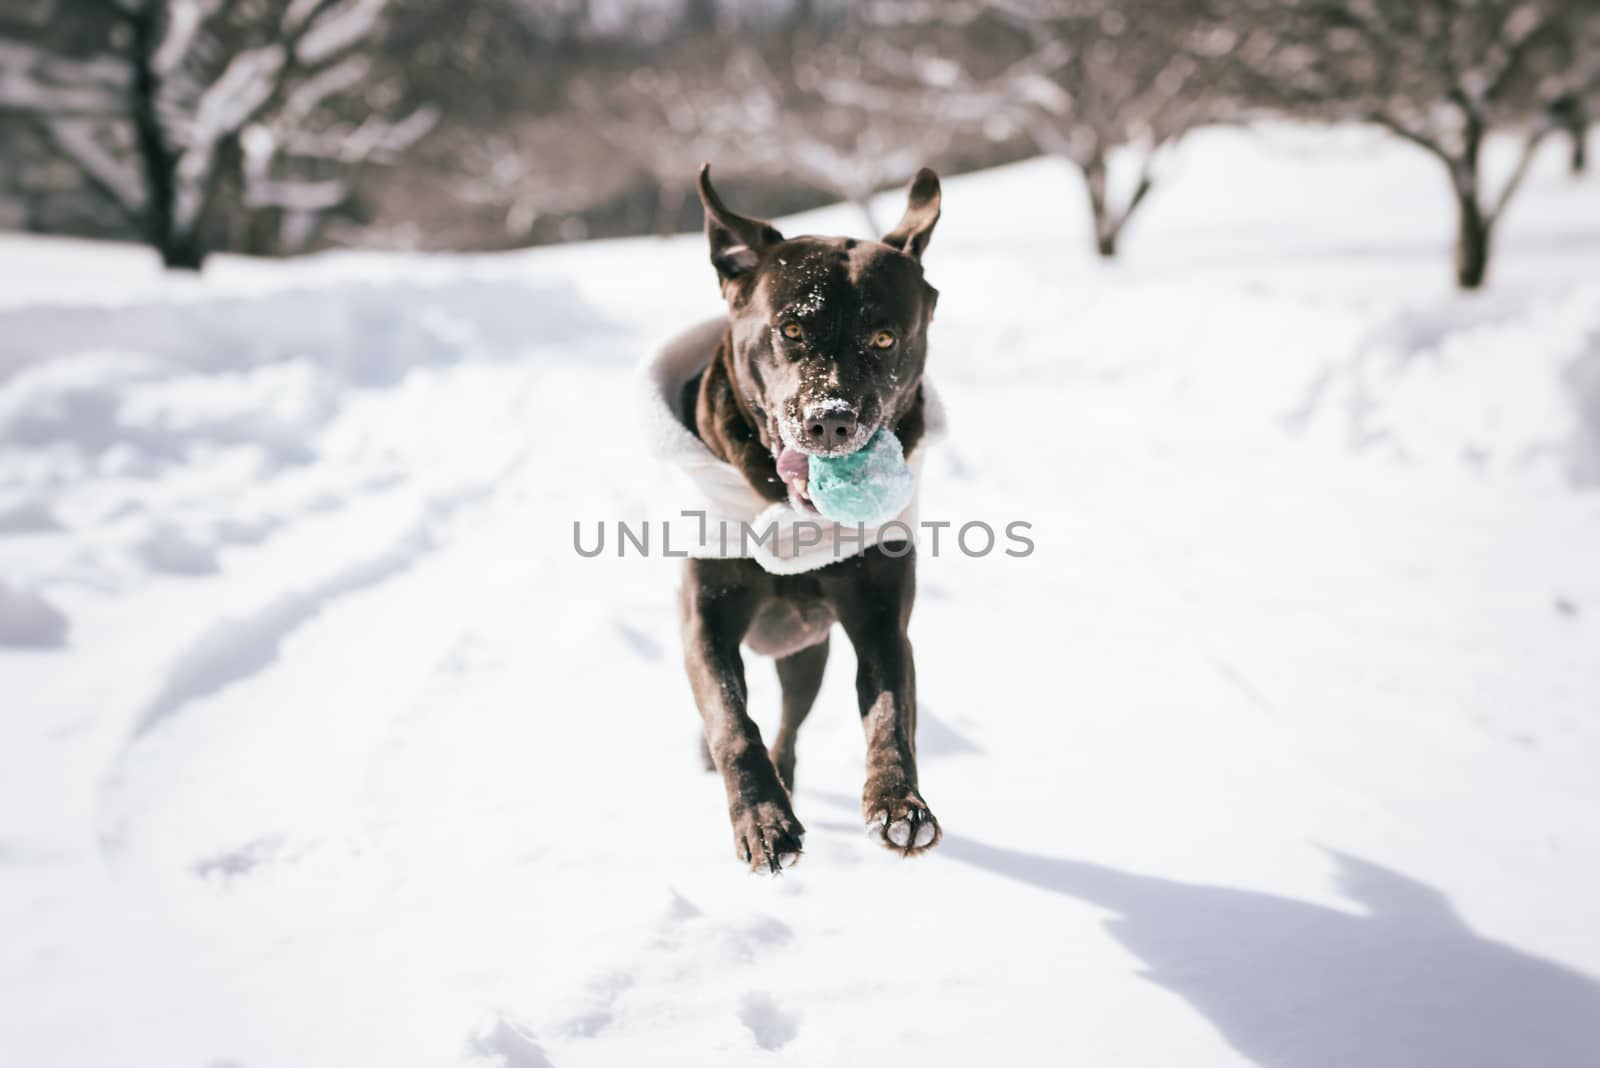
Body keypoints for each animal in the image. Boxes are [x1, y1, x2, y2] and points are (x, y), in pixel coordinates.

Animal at [678, 164, 947, 869]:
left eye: (884, 337)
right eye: (791, 331)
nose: (831, 419)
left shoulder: (880, 617)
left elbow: (889, 714)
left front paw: (899, 804)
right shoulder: (705, 616)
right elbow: (730, 719)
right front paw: (761, 820)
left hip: (806, 652)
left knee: (791, 720)